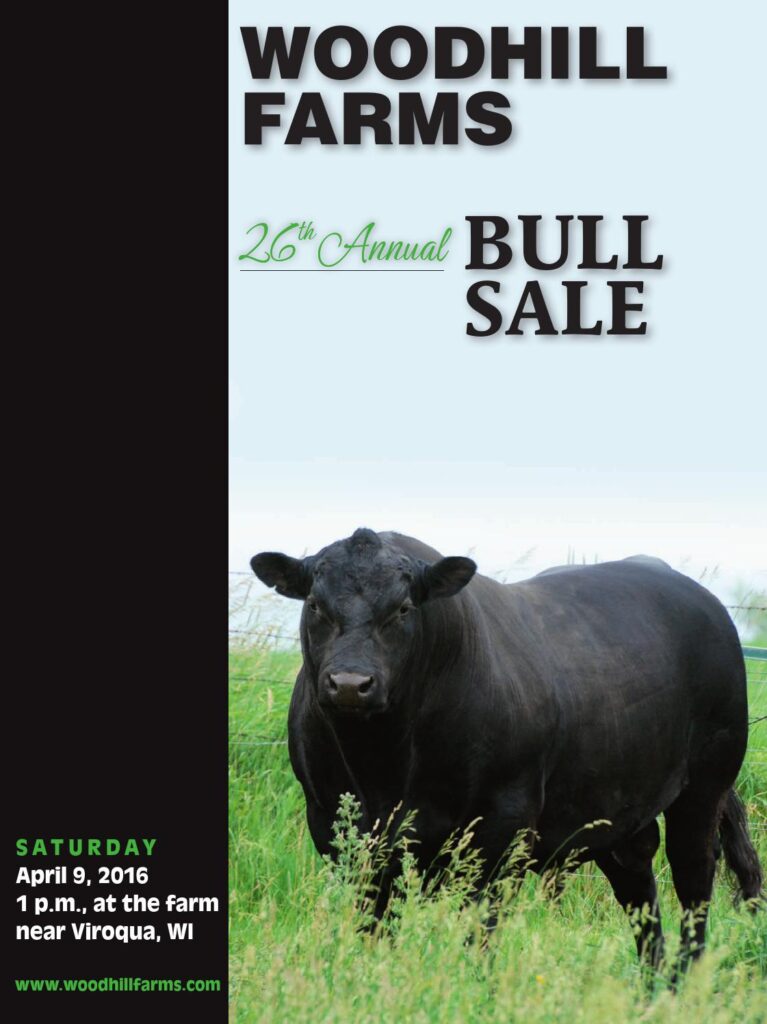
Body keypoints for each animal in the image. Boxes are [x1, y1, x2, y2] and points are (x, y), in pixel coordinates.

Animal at [251, 528, 762, 975]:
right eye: (315, 604)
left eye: (403, 608)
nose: (350, 684)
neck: (383, 768)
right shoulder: (336, 825)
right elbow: (374, 923)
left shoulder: (502, 823)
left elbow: (479, 925)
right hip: (617, 808)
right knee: (639, 888)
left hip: (705, 785)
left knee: (694, 879)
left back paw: (685, 980)